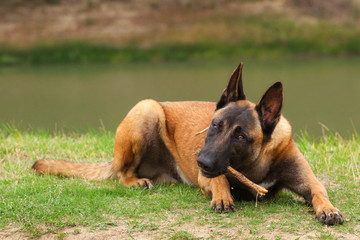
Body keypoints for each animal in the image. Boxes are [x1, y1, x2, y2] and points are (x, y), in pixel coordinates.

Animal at [31, 62, 344, 225]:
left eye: (240, 137)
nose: (201, 161)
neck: (255, 164)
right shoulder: (208, 176)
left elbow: (319, 191)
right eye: (215, 125)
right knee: (122, 172)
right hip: (147, 109)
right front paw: (223, 196)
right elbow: (218, 179)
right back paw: (136, 181)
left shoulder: (307, 180)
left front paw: (328, 209)